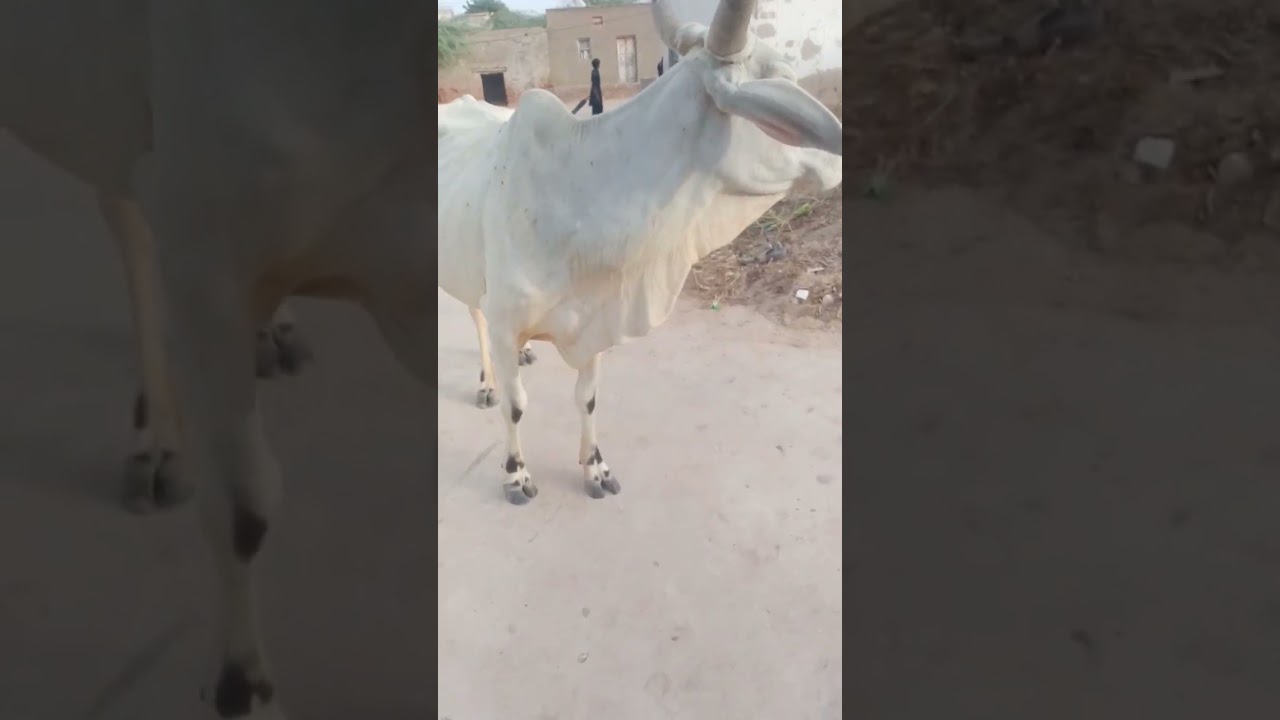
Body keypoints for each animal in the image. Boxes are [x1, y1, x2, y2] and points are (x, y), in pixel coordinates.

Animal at [438, 0, 843, 505]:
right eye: (783, 76)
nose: (838, 157)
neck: (577, 191)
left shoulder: (594, 318)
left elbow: (587, 398)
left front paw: (595, 468)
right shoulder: (507, 316)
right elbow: (516, 406)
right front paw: (516, 474)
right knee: (477, 319)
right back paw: (487, 382)